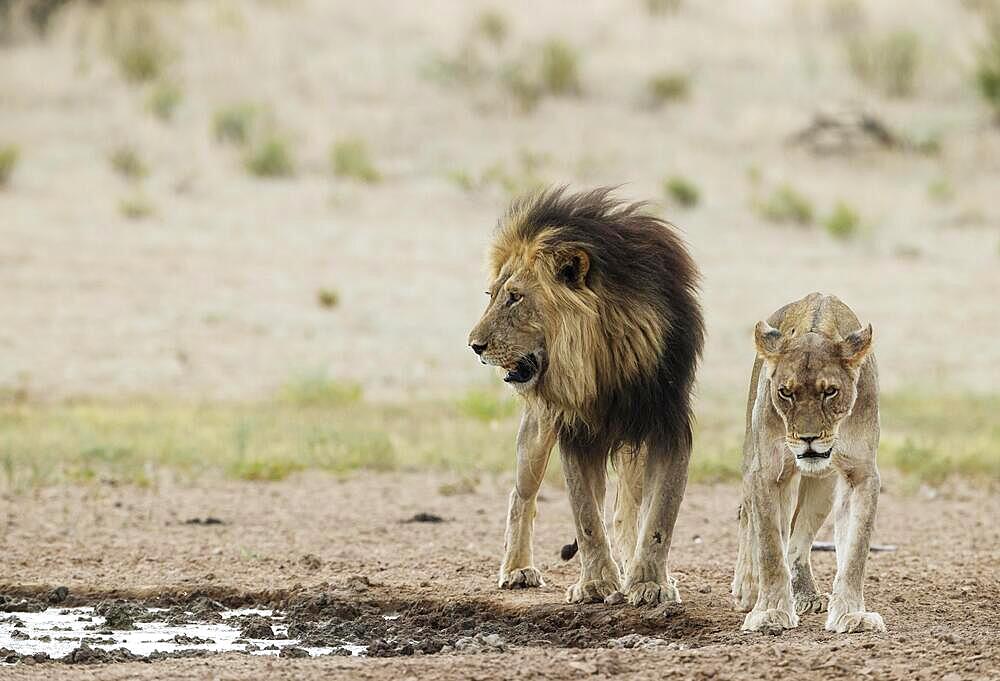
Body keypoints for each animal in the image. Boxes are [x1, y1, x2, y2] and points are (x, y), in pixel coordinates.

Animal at [468, 187, 704, 604]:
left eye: (515, 297)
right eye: (491, 295)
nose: (474, 346)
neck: (602, 355)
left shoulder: (668, 425)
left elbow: (661, 515)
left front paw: (650, 583)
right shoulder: (576, 432)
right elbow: (586, 517)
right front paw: (595, 585)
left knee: (627, 511)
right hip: (536, 434)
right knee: (521, 496)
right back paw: (517, 569)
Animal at [732, 290, 888, 632]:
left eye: (830, 391)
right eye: (785, 392)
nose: (808, 438)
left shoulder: (861, 474)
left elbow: (855, 550)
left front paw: (851, 614)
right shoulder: (767, 473)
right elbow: (769, 547)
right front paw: (770, 611)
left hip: (823, 488)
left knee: (797, 537)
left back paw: (805, 593)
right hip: (753, 459)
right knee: (748, 516)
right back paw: (747, 587)